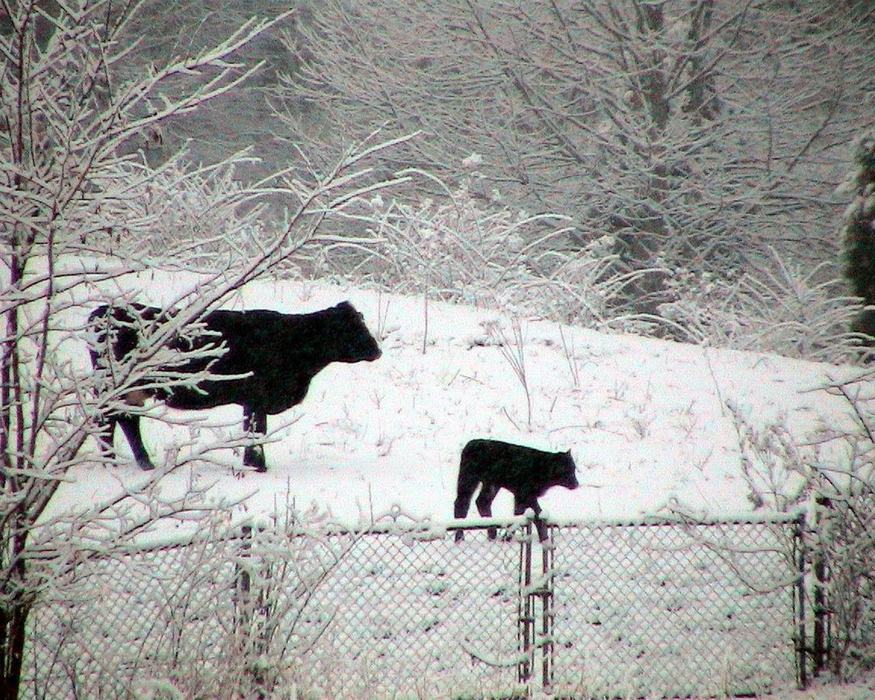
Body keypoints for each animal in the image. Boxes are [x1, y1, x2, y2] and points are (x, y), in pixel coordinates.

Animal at [88, 300, 382, 472]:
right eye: (352, 327)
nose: (377, 350)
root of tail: (104, 310)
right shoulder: (257, 397)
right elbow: (257, 432)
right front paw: (257, 467)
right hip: (114, 386)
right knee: (108, 421)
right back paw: (111, 463)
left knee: (126, 421)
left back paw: (142, 463)